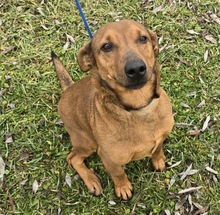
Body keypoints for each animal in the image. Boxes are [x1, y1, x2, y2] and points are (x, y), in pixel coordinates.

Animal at [51, 19, 174, 200]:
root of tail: (68, 88)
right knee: (72, 158)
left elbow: (157, 148)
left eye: (143, 38)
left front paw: (158, 160)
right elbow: (118, 173)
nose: (136, 69)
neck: (138, 109)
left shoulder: (160, 137)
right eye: (107, 46)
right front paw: (123, 187)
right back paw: (91, 180)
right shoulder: (108, 159)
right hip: (87, 142)